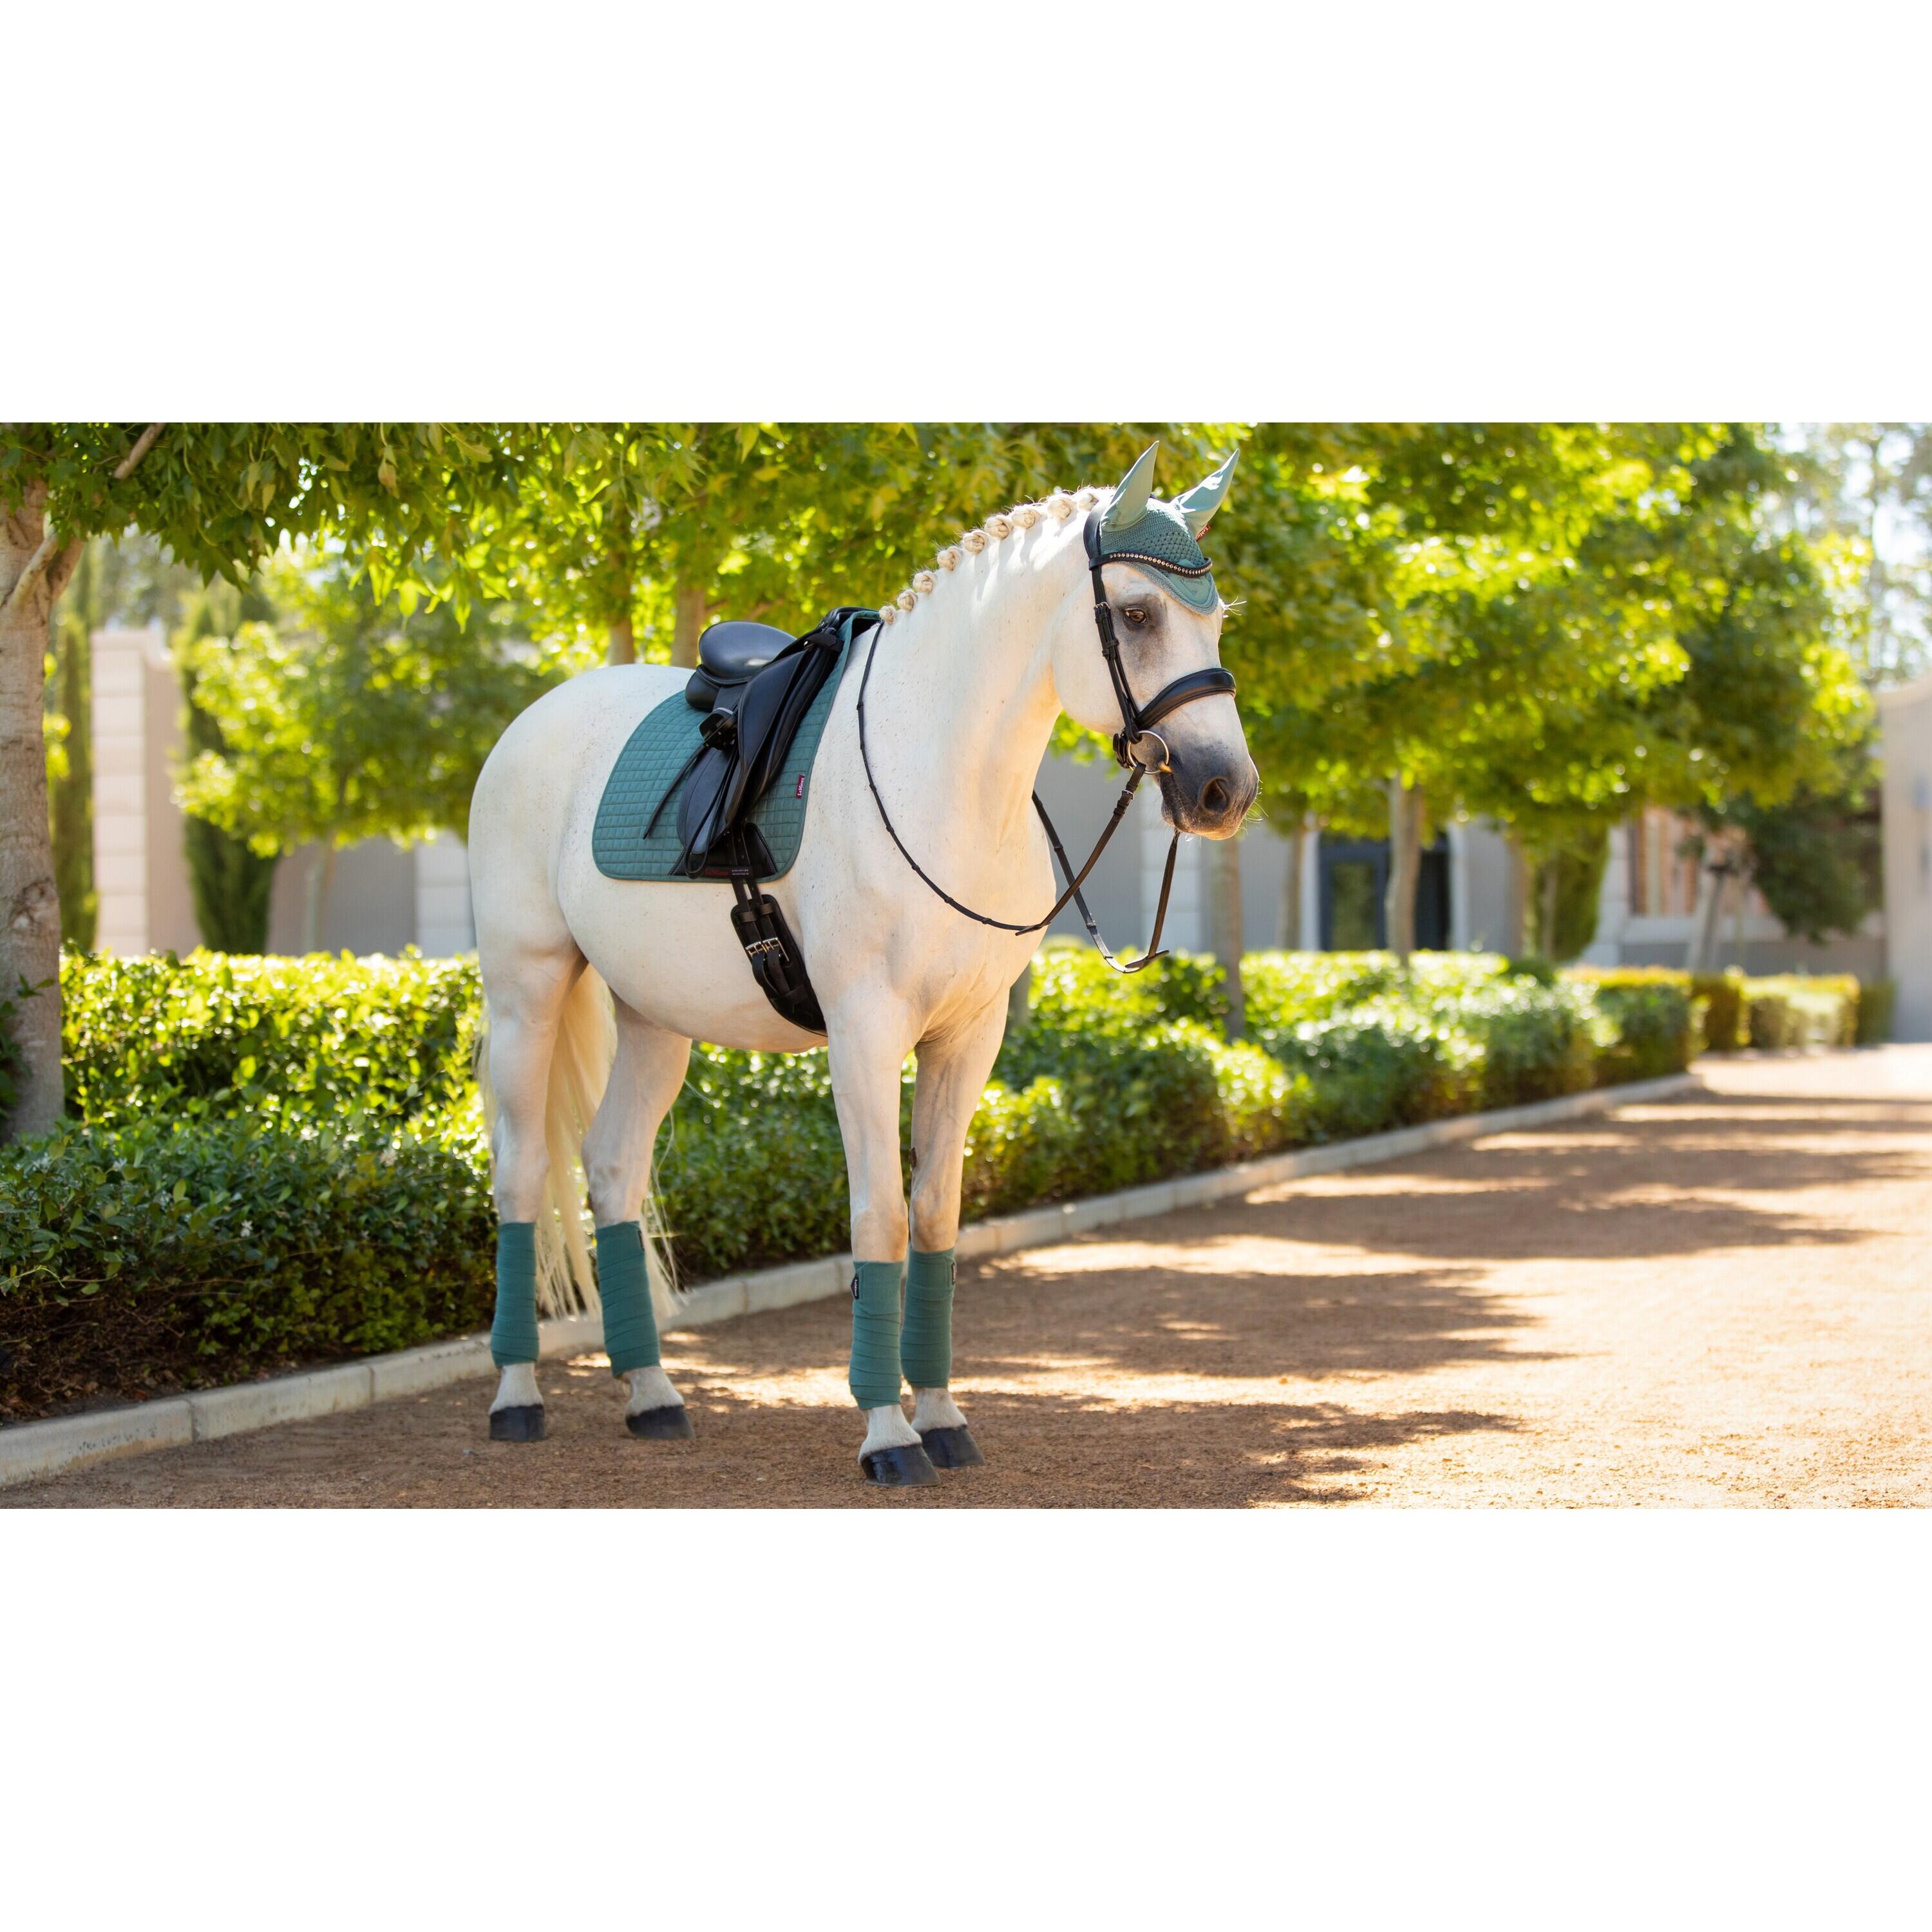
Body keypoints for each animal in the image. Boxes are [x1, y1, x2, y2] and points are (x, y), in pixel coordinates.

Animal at [467, 443, 1257, 1486]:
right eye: (1136, 614)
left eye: (1216, 614)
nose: (1224, 789)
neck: (940, 779)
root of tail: (533, 722)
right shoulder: (866, 1035)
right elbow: (878, 1217)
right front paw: (887, 1435)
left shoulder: (969, 1038)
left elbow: (936, 1218)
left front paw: (944, 1417)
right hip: (527, 992)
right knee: (521, 1174)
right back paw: (517, 1396)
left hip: (654, 1020)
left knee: (611, 1169)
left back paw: (652, 1394)